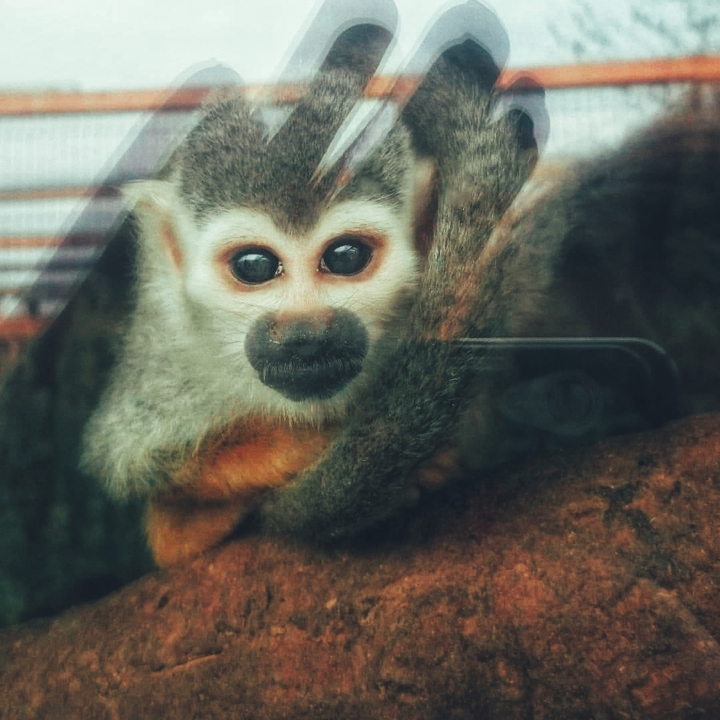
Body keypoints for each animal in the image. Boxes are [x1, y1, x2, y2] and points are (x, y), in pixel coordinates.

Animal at [80, 2, 543, 565]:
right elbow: (136, 465)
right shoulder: (166, 354)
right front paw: (304, 448)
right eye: (254, 267)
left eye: (345, 257)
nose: (304, 334)